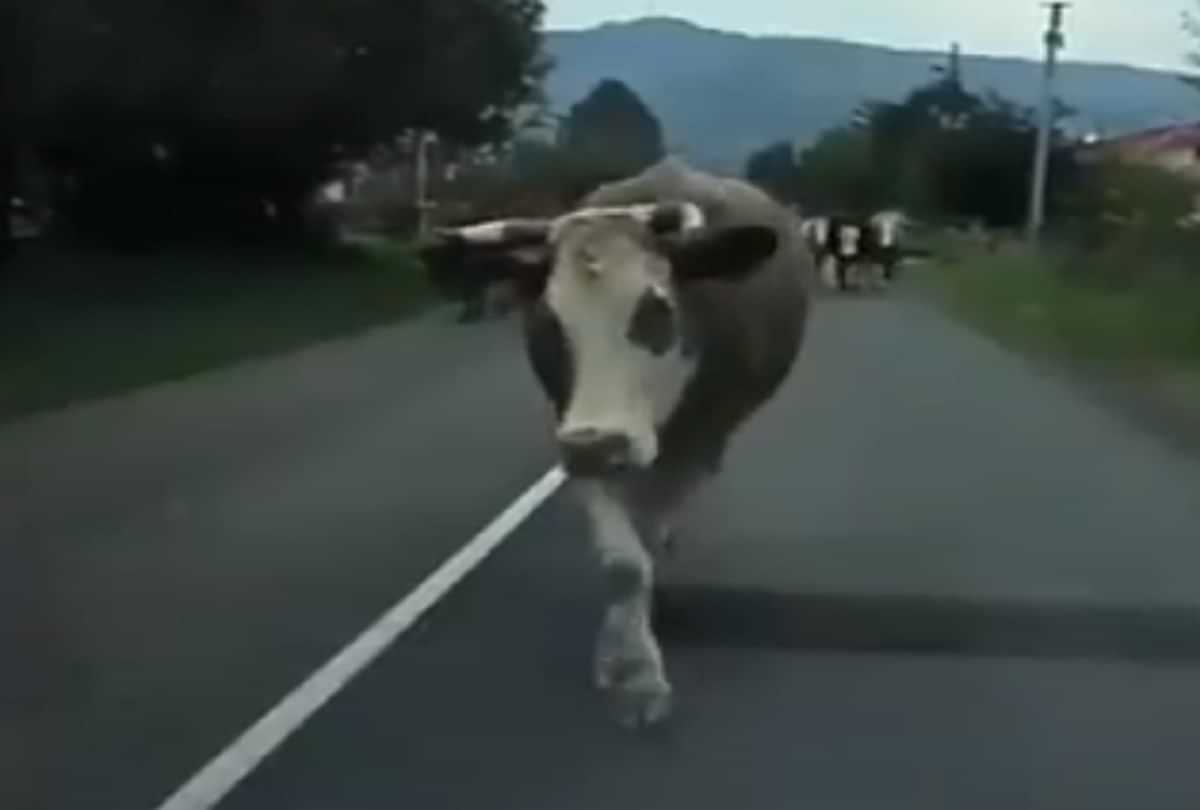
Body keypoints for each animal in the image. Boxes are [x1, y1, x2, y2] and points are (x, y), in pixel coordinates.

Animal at [420, 158, 811, 728]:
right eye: (549, 320)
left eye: (658, 310)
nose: (599, 446)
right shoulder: (574, 431)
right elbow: (625, 565)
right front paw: (630, 667)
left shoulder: (697, 439)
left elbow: (648, 537)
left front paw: (639, 652)